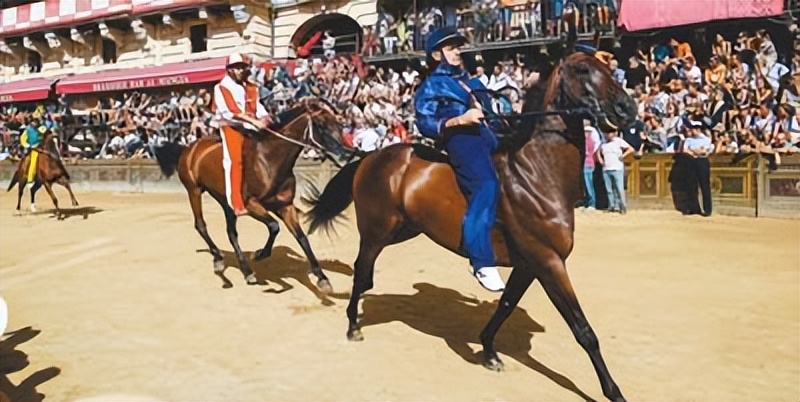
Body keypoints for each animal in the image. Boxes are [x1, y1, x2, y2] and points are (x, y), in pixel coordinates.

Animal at [153, 97, 346, 292]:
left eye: (339, 123)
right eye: (321, 124)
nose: (345, 154)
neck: (269, 161)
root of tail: (189, 148)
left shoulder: (285, 206)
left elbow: (302, 238)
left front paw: (322, 277)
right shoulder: (251, 204)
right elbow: (274, 226)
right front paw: (259, 254)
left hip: (225, 202)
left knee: (231, 233)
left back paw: (246, 270)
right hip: (194, 191)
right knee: (201, 225)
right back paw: (220, 261)